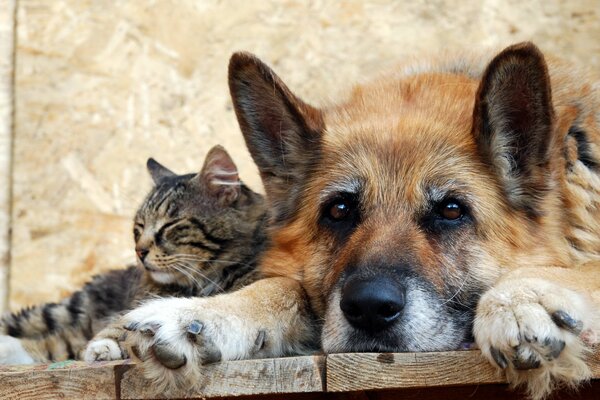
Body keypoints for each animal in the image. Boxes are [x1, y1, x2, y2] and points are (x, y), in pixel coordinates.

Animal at [0, 145, 268, 364]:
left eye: (169, 226)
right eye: (138, 227)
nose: (139, 251)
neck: (200, 282)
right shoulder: (137, 306)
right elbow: (116, 326)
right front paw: (103, 345)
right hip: (61, 311)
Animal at [111, 42, 600, 398]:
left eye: (451, 211)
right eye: (339, 210)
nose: (368, 308)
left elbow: (578, 271)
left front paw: (520, 299)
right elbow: (281, 286)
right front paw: (200, 314)